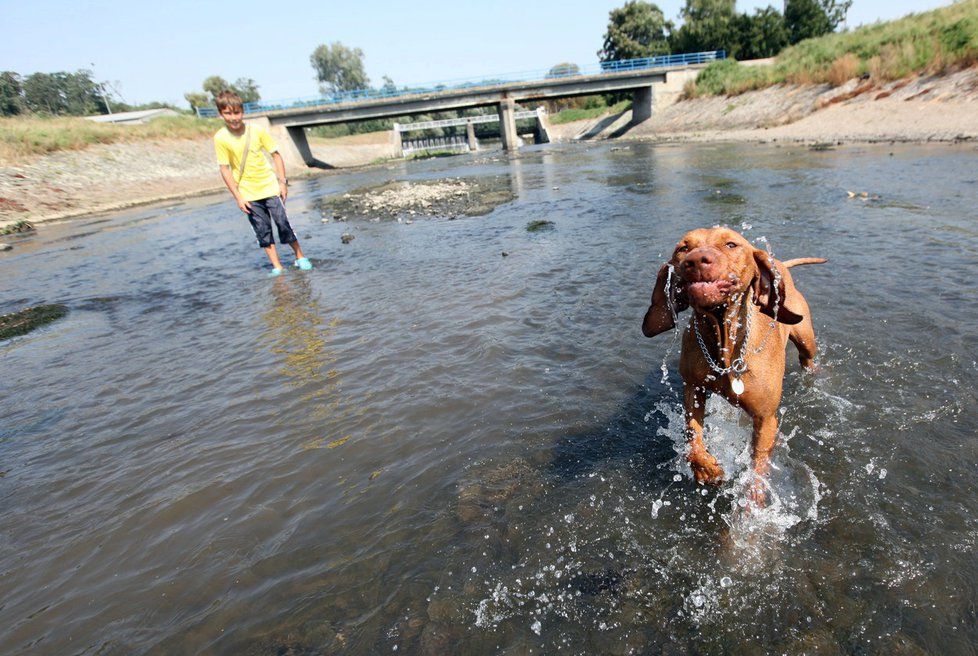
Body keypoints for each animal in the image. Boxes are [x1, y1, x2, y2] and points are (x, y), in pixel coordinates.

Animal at [640, 228, 824, 500]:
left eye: (730, 244)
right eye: (683, 248)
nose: (696, 261)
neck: (724, 343)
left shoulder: (765, 418)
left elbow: (757, 468)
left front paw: (753, 502)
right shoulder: (693, 388)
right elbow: (691, 435)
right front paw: (706, 469)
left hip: (805, 338)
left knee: (807, 357)